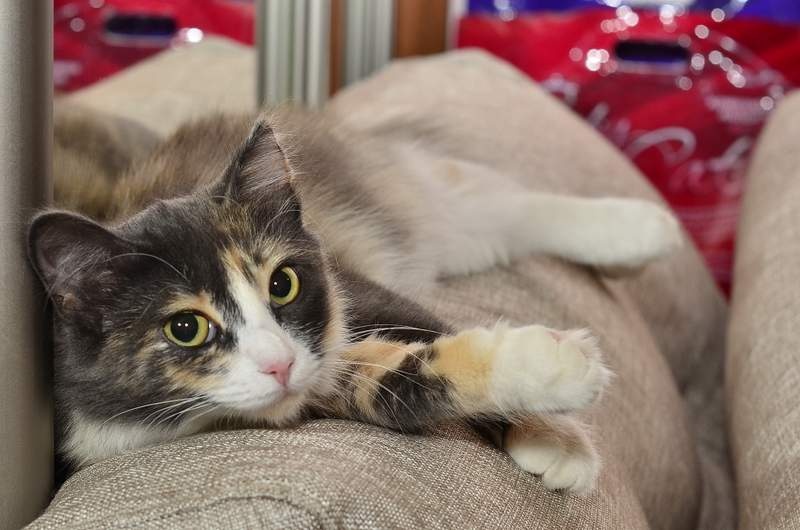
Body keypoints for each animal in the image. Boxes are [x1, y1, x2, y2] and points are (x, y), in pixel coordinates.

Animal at [29, 107, 682, 494]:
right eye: (186, 329)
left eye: (282, 285)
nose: (279, 363)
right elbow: (404, 381)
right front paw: (552, 392)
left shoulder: (355, 296)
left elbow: (430, 327)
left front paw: (557, 434)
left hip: (409, 206)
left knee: (497, 198)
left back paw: (648, 231)